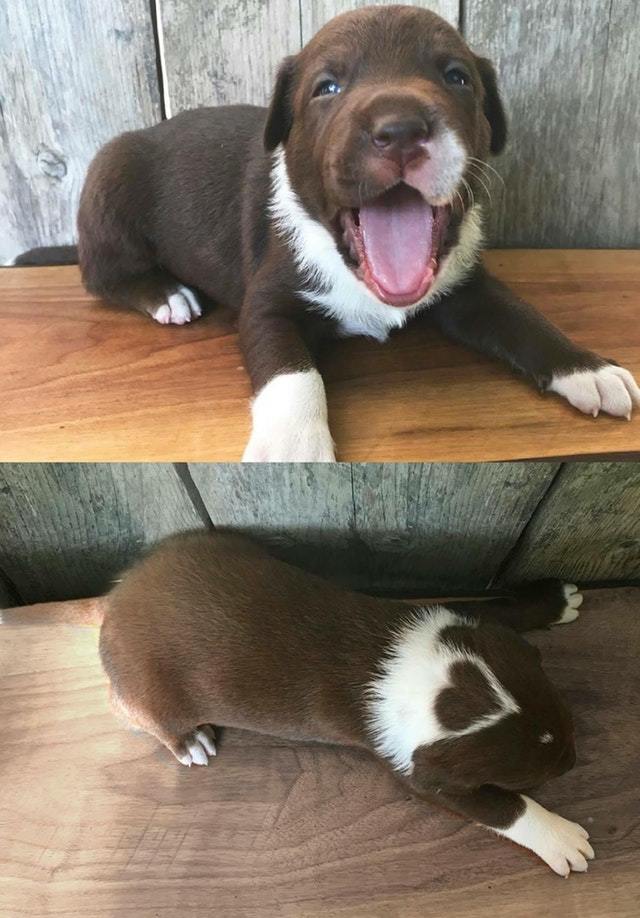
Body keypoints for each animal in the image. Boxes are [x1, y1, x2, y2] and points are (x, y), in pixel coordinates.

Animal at [15, 532, 592, 876]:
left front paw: (550, 600)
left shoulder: (453, 616)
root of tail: (113, 599)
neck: (435, 680)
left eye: (563, 712)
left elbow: (493, 606)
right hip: (152, 694)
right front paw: (560, 836)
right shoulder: (422, 775)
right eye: (534, 774)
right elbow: (501, 809)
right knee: (127, 707)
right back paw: (189, 741)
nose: (573, 759)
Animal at [17, 1, 636, 458]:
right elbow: (292, 375)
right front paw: (294, 449)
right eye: (327, 88)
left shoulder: (465, 286)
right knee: (104, 275)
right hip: (110, 180)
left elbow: (522, 317)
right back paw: (165, 293)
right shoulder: (267, 304)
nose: (399, 129)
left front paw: (588, 368)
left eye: (457, 77)